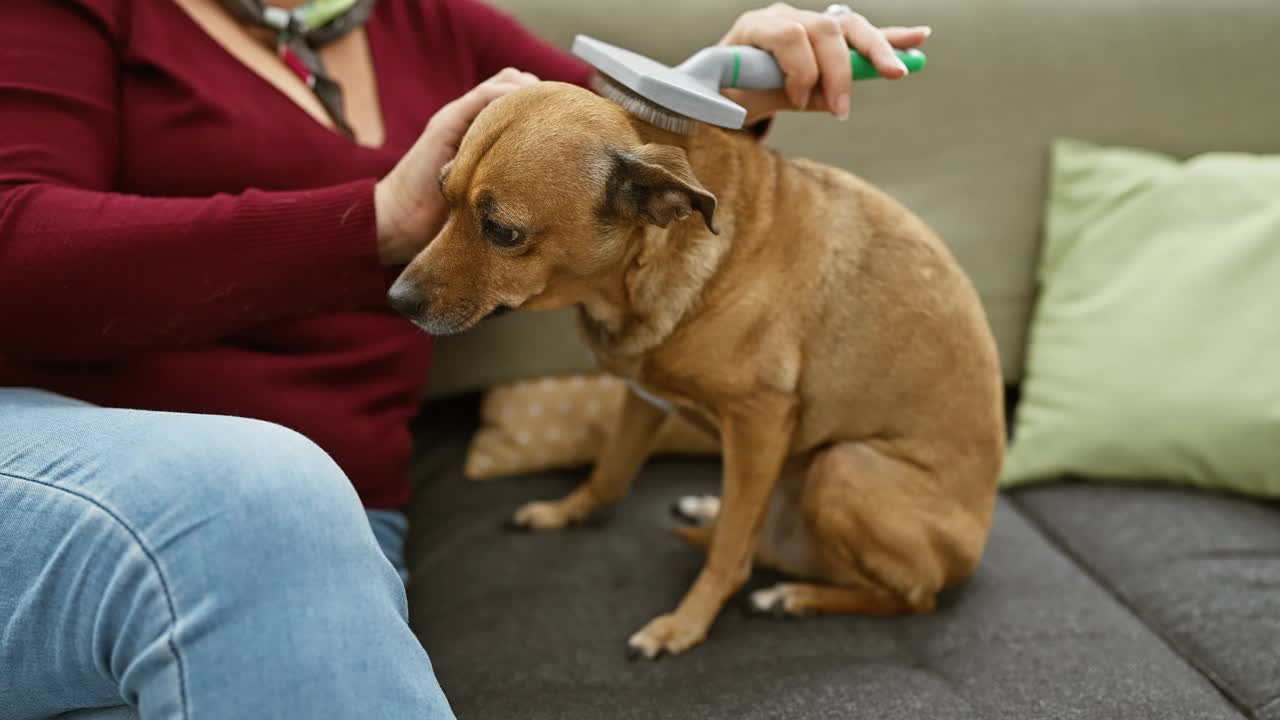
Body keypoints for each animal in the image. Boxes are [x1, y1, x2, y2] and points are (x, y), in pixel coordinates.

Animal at [384, 79, 1003, 655]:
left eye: (502, 231)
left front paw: (685, 625)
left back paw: (793, 596)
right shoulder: (645, 397)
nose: (396, 300)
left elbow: (728, 556)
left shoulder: (759, 420)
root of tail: (969, 555)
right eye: (441, 193)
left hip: (843, 465)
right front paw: (565, 513)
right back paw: (717, 511)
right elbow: (610, 475)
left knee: (910, 598)